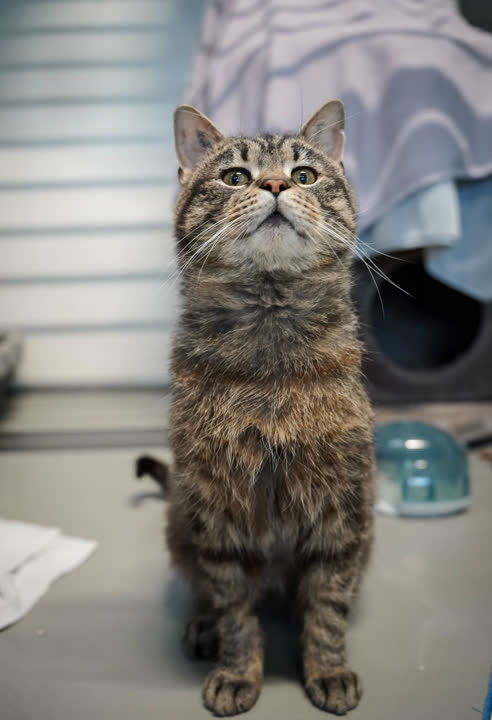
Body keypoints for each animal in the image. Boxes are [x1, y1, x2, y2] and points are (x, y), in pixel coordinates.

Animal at [137, 100, 375, 716]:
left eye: (305, 175)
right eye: (235, 176)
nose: (273, 184)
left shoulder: (340, 512)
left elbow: (327, 609)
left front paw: (328, 669)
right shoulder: (219, 516)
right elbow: (234, 610)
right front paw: (237, 671)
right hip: (181, 520)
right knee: (204, 590)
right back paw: (202, 629)